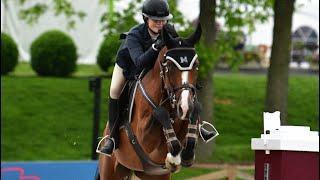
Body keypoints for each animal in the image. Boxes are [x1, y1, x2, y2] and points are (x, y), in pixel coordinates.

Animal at [97, 23, 202, 180]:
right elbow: (160, 112)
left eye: (196, 66)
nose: (185, 107)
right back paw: (109, 145)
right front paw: (173, 158)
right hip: (110, 170)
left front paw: (184, 156)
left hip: (152, 175)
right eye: (170, 66)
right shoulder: (143, 138)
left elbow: (195, 112)